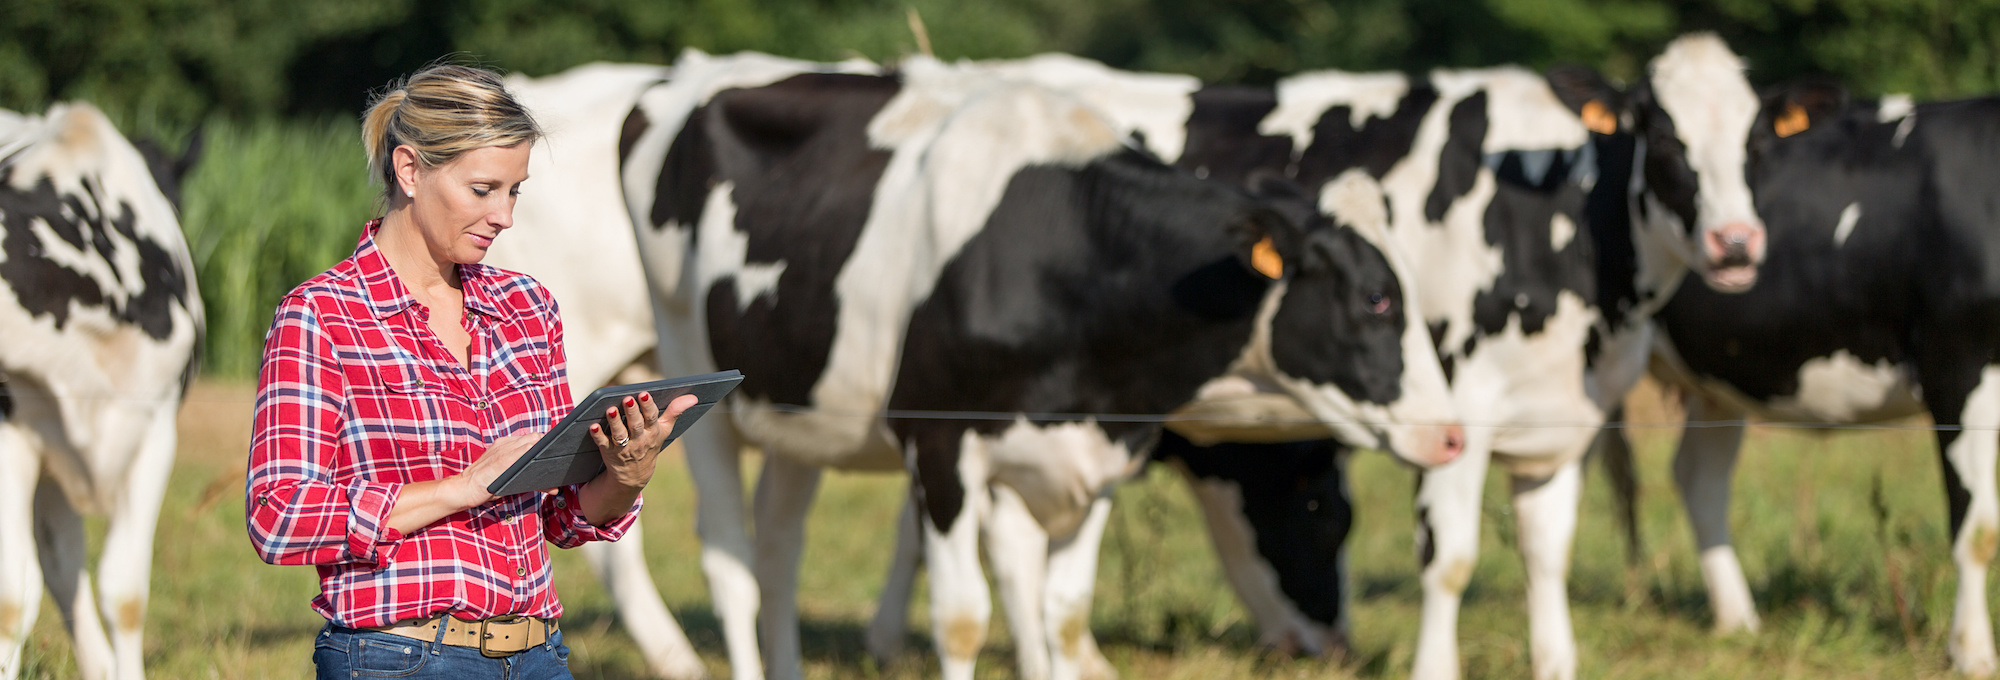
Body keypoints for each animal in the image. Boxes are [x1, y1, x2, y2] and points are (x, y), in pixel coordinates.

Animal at [612, 54, 1472, 680]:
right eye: (1375, 299)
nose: (1455, 435)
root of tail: (686, 77)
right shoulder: (939, 444)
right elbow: (962, 618)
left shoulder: (1102, 450)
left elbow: (1061, 610)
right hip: (693, 382)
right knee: (730, 559)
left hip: (803, 408)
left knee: (779, 545)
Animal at [1600, 33, 2000, 680]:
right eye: (1663, 140)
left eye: (1758, 144)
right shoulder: (1957, 364)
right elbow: (1977, 527)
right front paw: (1972, 653)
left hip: (1717, 379)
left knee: (1696, 476)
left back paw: (1738, 620)